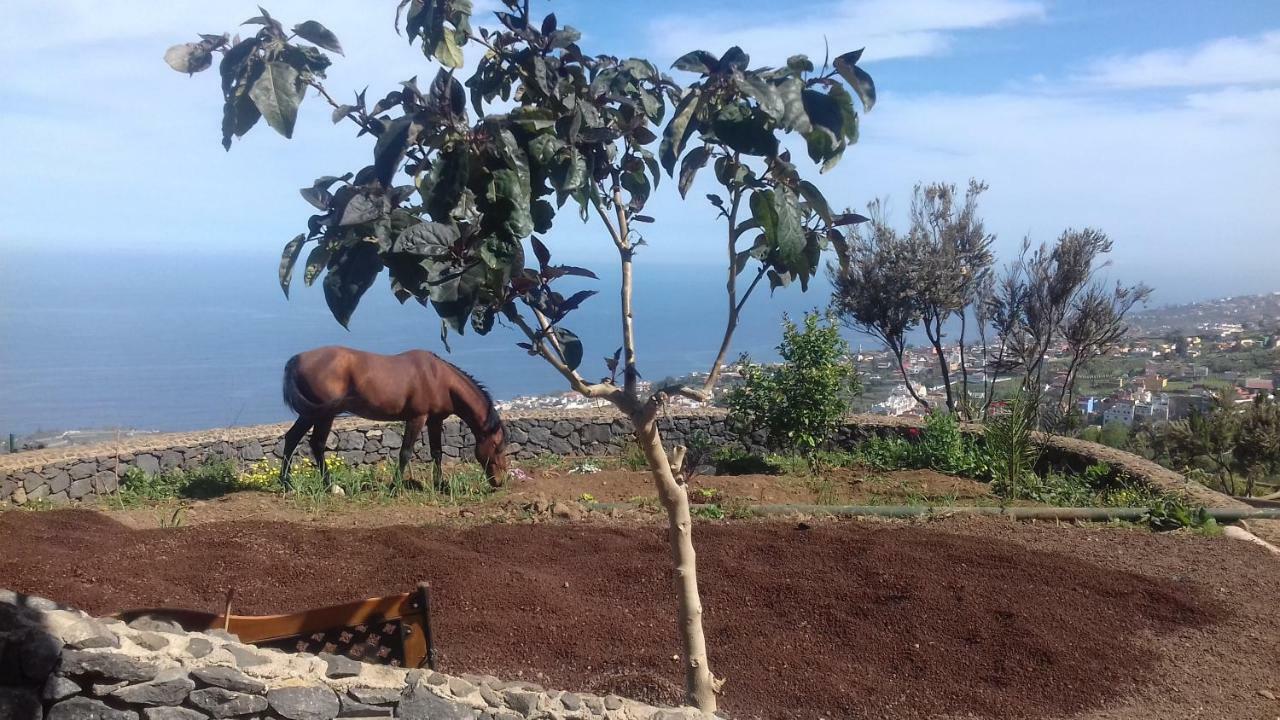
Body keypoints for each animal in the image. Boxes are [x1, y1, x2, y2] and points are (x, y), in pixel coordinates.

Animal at [279, 345, 504, 486]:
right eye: (497, 446)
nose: (500, 482)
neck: (439, 378)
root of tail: (297, 359)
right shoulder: (417, 418)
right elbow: (405, 452)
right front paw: (394, 487)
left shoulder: (434, 420)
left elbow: (437, 452)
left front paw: (440, 484)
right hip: (324, 415)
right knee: (316, 444)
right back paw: (329, 485)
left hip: (311, 413)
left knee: (292, 438)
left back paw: (286, 483)